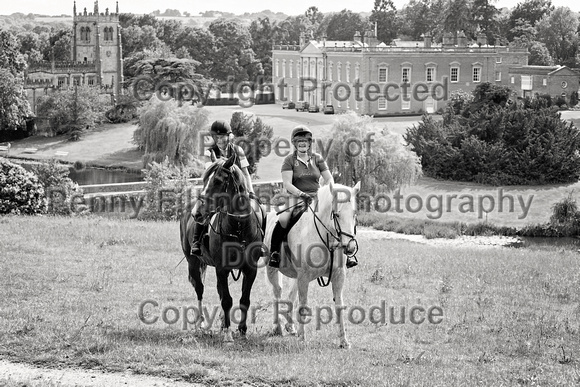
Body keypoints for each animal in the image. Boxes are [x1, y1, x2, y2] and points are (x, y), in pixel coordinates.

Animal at [179, 155, 266, 342]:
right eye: (204, 180)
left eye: (218, 181)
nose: (197, 213)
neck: (239, 227)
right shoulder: (221, 268)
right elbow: (226, 300)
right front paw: (227, 333)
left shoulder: (251, 269)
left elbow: (244, 299)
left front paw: (242, 330)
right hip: (193, 263)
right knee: (199, 289)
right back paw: (201, 324)